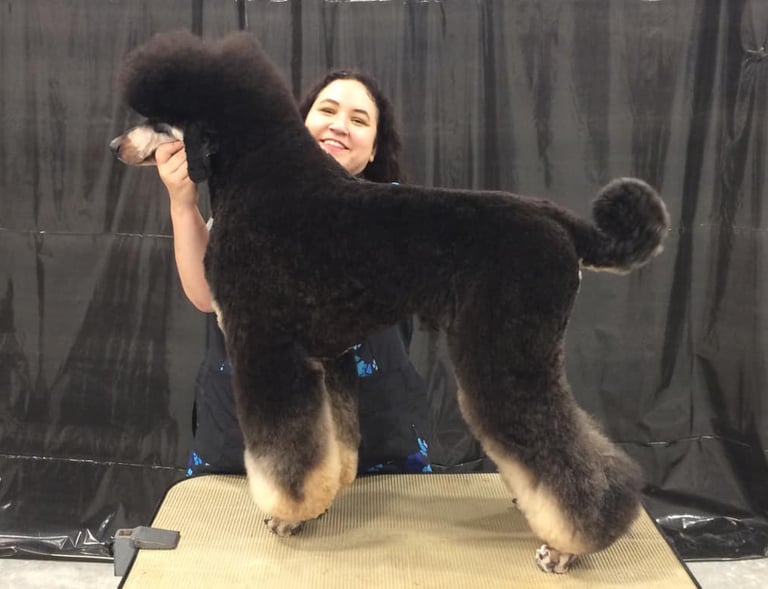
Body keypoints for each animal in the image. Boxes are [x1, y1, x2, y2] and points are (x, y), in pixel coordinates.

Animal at [111, 30, 670, 573]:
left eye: (158, 118)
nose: (116, 145)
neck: (260, 177)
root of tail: (563, 223)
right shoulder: (328, 355)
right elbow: (330, 445)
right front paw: (319, 503)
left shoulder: (265, 344)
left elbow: (284, 451)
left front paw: (286, 514)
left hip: (508, 353)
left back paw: (569, 546)